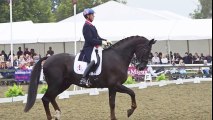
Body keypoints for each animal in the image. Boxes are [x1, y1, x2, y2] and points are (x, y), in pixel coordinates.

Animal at [24, 35, 156, 120]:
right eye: (146, 49)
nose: (141, 67)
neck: (118, 57)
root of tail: (48, 58)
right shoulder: (115, 85)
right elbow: (129, 94)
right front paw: (129, 111)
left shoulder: (113, 87)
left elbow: (115, 101)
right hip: (56, 84)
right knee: (46, 98)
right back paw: (52, 116)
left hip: (63, 84)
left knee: (51, 97)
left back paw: (58, 114)